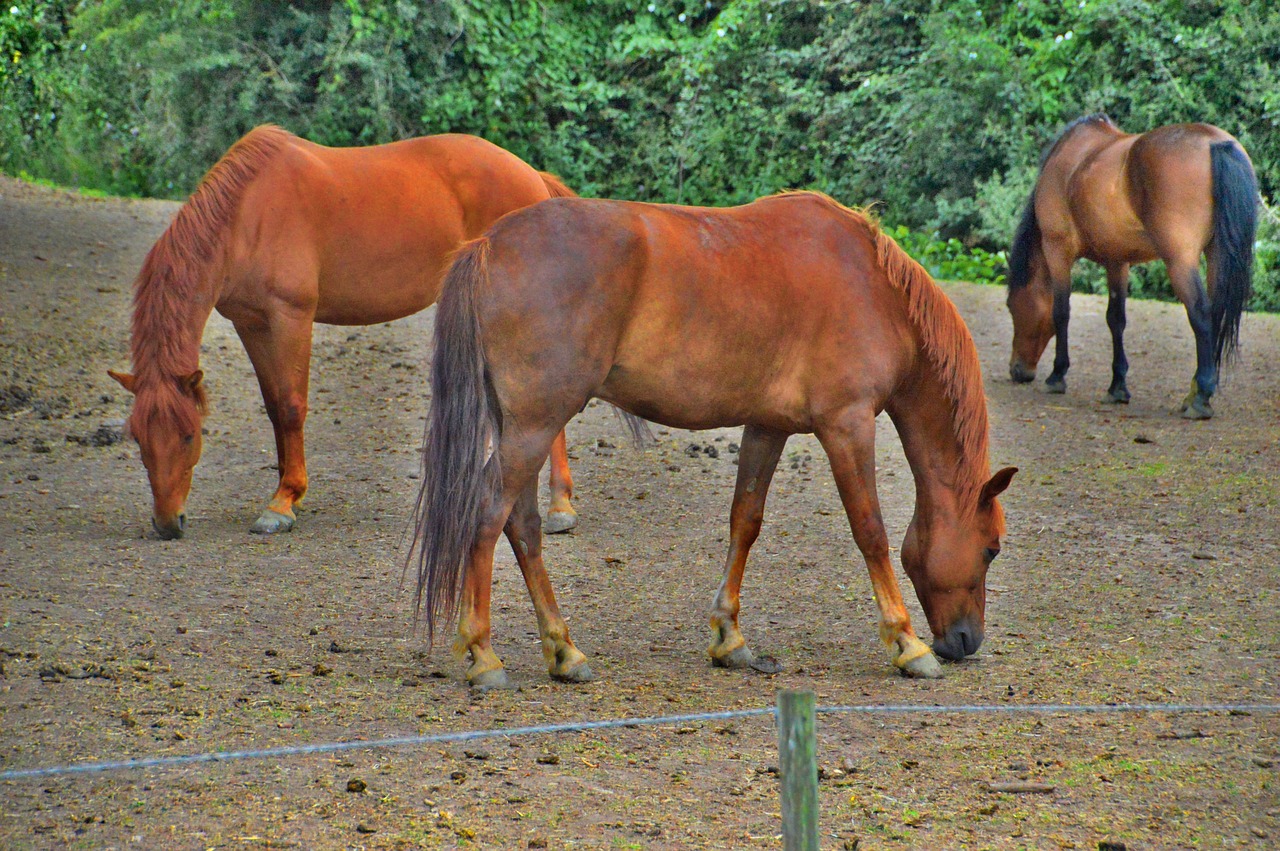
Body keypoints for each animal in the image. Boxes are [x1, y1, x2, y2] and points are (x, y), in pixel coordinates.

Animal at [108, 125, 582, 540]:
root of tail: (530, 175)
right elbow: (273, 407)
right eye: (139, 438)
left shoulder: (291, 318)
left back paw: (560, 508)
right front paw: (288, 492)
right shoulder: (251, 323)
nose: (167, 524)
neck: (245, 217)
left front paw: (282, 503)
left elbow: (292, 406)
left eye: (189, 435)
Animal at [410, 191, 1017, 687]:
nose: (967, 641)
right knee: (488, 516)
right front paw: (907, 643)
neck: (873, 287)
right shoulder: (847, 425)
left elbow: (745, 521)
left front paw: (730, 638)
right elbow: (870, 532)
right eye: (991, 549)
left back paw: (564, 651)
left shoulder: (768, 426)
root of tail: (488, 245)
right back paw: (483, 655)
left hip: (527, 429)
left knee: (523, 526)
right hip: (534, 427)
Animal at [1006, 114, 1258, 418]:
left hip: (1180, 261)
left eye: (1011, 306)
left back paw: (1200, 398)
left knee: (1201, 313)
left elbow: (1061, 313)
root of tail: (1216, 144)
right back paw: (1194, 393)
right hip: (1216, 255)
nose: (1018, 371)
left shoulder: (1058, 251)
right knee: (1216, 314)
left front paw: (1057, 376)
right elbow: (1116, 320)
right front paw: (1117, 387)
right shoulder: (1117, 261)